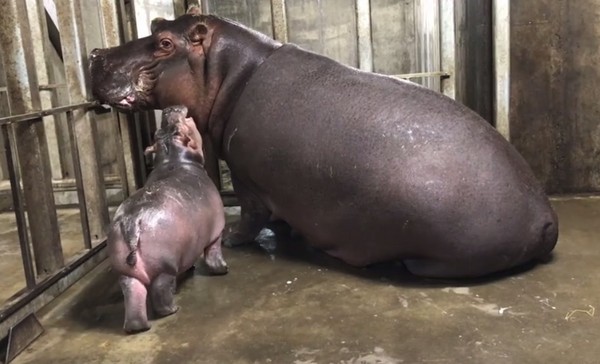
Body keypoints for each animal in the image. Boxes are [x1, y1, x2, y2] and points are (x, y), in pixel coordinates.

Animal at [89, 7, 556, 278]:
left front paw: (238, 240)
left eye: (165, 43)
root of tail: (544, 216)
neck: (228, 72)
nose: (95, 54)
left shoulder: (246, 176)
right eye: (156, 23)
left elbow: (252, 215)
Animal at [106, 104, 226, 332]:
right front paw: (223, 270)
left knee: (133, 296)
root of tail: (133, 219)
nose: (170, 109)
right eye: (179, 129)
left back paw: (138, 327)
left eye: (158, 132)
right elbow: (213, 253)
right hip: (164, 266)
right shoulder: (217, 232)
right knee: (161, 291)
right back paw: (172, 310)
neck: (175, 159)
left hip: (127, 273)